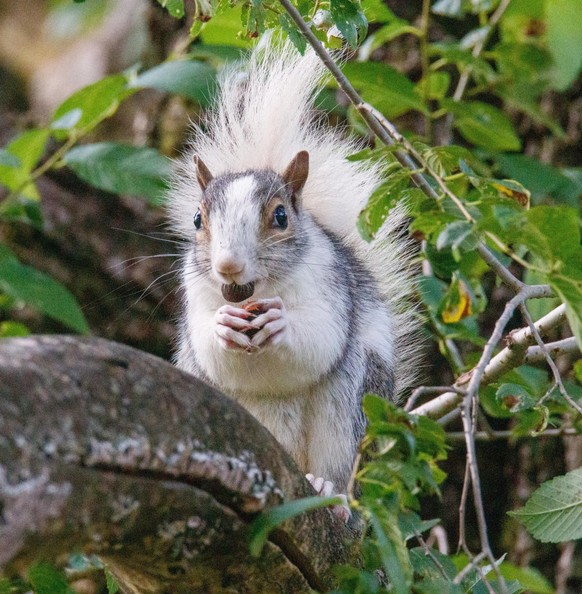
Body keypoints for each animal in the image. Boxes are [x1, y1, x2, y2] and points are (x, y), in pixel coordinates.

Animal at [169, 35, 420, 508]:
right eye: (197, 220)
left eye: (281, 217)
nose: (228, 266)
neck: (255, 293)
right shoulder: (195, 292)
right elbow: (212, 350)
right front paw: (221, 325)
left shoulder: (331, 285)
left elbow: (320, 339)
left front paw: (282, 323)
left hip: (352, 409)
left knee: (340, 468)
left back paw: (327, 490)